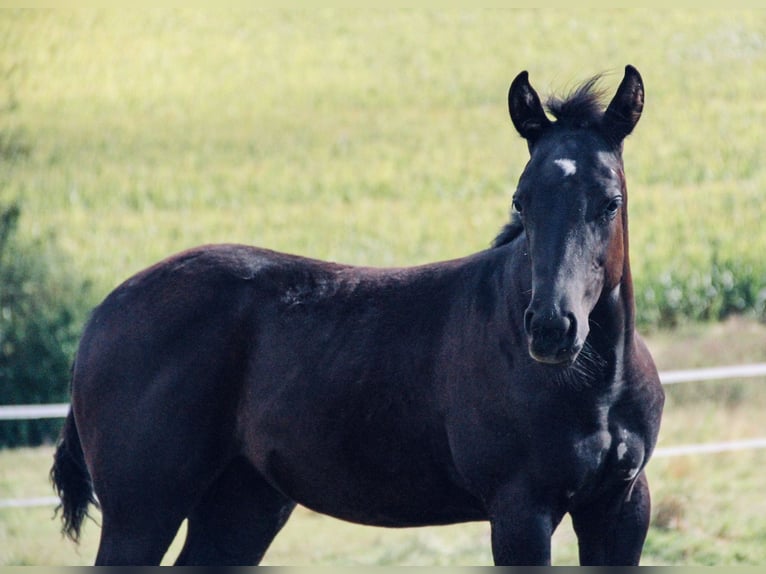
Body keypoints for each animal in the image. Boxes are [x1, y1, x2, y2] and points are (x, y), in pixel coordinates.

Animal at [52, 66, 664, 568]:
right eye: (522, 200)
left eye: (610, 201)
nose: (551, 330)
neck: (598, 385)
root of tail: (101, 315)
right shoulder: (520, 510)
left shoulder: (621, 506)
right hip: (140, 512)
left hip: (243, 504)